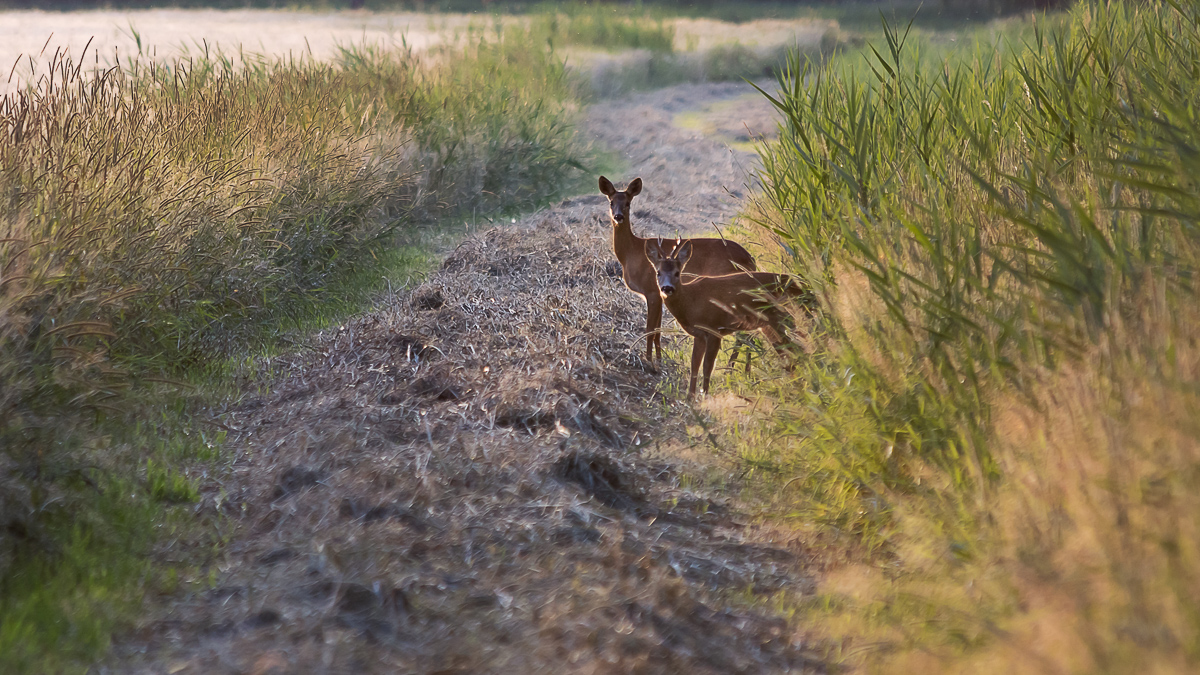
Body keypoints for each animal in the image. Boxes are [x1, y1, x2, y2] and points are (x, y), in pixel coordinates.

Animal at [600, 174, 758, 362]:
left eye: (628, 203)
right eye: (611, 202)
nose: (618, 216)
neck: (632, 253)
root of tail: (750, 259)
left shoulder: (651, 291)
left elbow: (650, 330)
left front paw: (648, 360)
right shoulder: (659, 293)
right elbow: (657, 331)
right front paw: (659, 359)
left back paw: (732, 365)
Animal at [648, 237, 816, 396]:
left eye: (677, 273)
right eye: (658, 273)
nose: (667, 288)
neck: (691, 301)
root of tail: (806, 289)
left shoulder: (714, 329)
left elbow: (707, 366)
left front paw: (705, 395)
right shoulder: (699, 334)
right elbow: (694, 365)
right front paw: (691, 398)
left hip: (782, 318)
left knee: (798, 347)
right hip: (771, 324)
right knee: (792, 350)